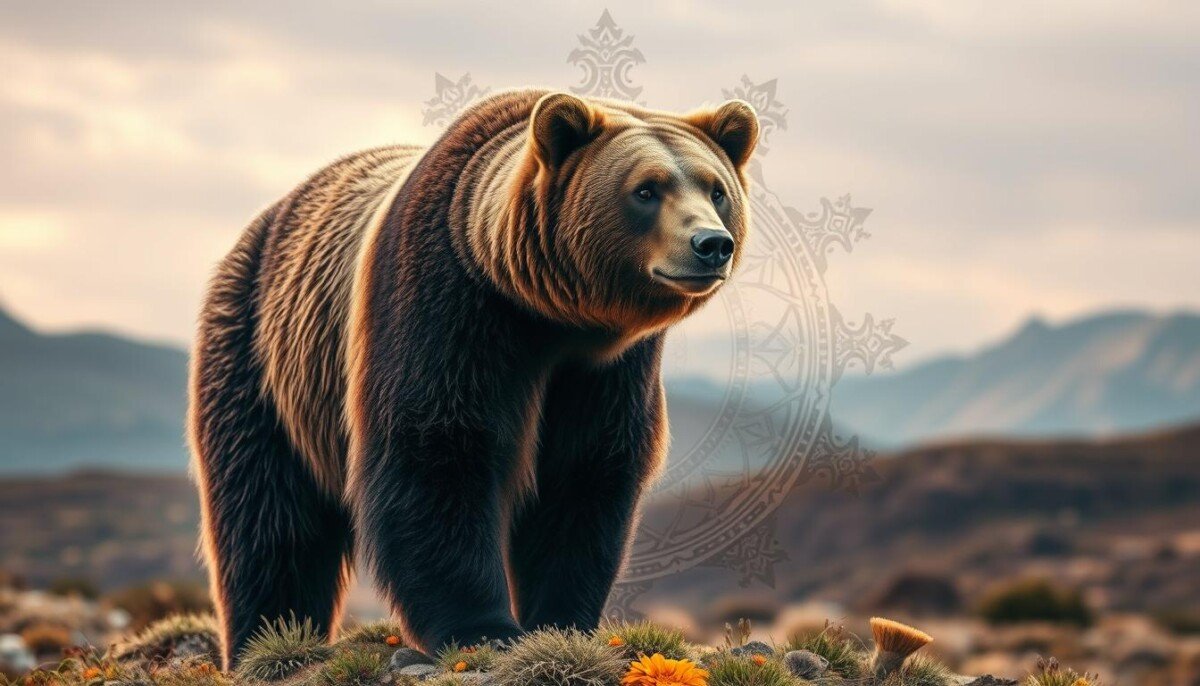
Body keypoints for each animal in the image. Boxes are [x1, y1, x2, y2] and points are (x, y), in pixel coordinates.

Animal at [188, 88, 759, 668]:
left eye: (716, 189)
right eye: (646, 189)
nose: (711, 243)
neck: (547, 313)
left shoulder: (606, 368)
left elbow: (584, 473)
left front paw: (560, 620)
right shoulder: (449, 307)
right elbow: (437, 451)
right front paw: (483, 627)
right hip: (260, 355)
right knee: (268, 516)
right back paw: (266, 637)